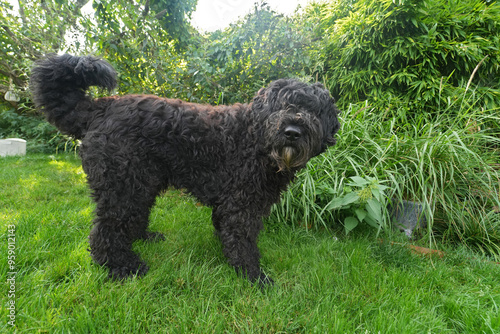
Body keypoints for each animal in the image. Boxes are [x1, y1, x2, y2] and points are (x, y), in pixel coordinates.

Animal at [30, 54, 340, 284]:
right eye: (282, 105)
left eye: (313, 110)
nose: (292, 132)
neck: (254, 137)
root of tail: (99, 109)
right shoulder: (241, 204)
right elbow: (242, 241)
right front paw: (253, 275)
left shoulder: (231, 203)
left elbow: (225, 232)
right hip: (121, 186)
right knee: (105, 231)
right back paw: (122, 267)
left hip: (141, 183)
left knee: (132, 219)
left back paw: (144, 239)